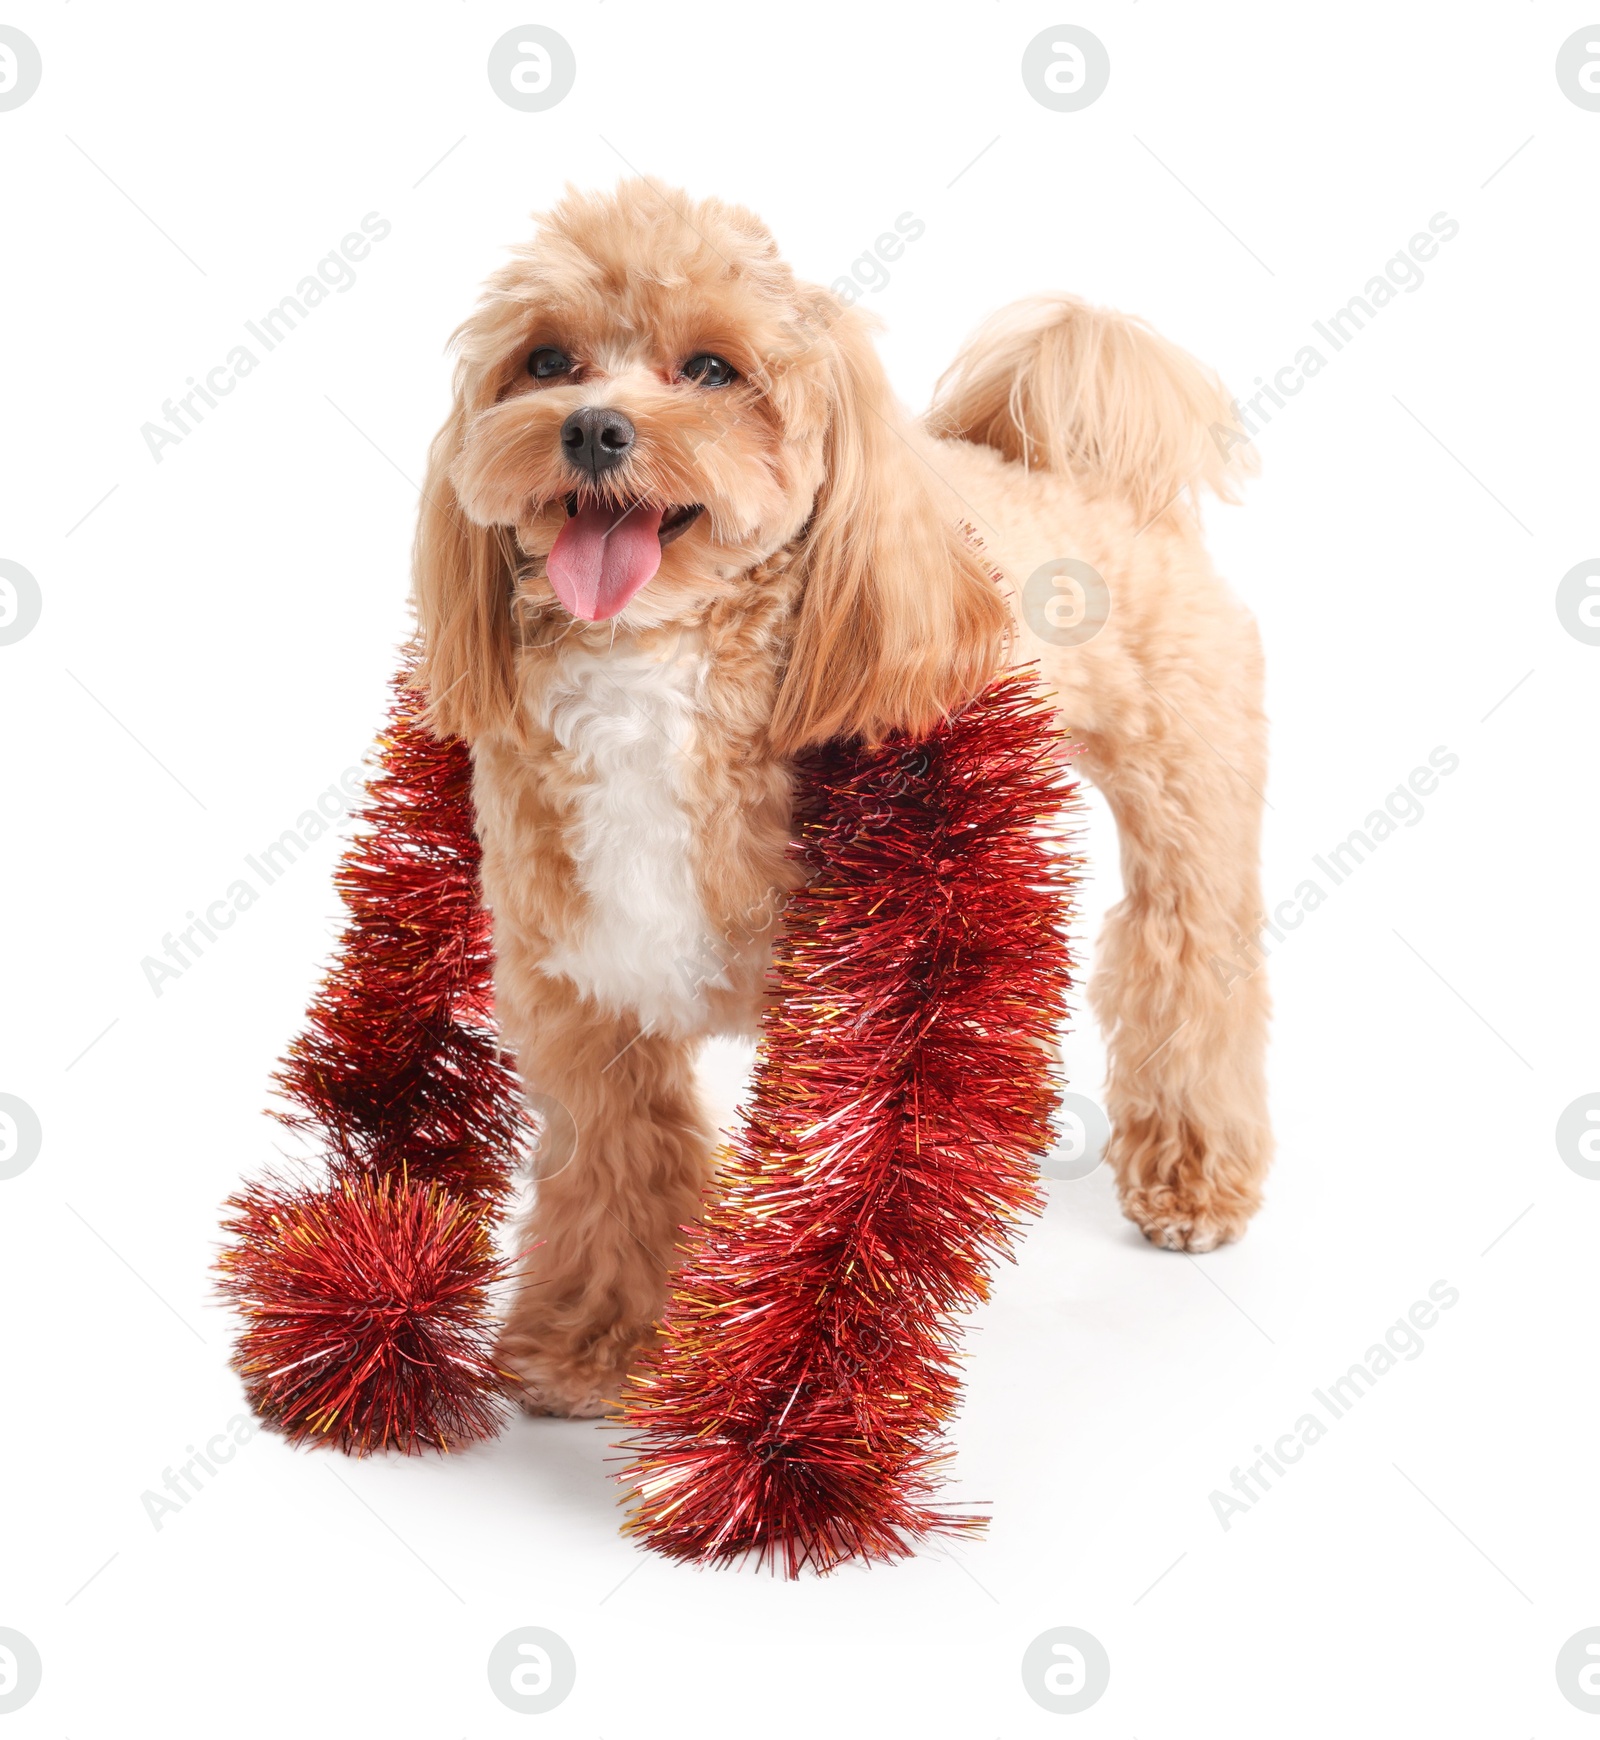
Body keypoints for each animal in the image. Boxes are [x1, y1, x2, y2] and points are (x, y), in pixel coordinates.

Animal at [415, 183, 1273, 1419]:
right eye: (545, 361)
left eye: (712, 370)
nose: (593, 429)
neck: (655, 671)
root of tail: (1075, 468)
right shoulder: (581, 984)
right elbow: (619, 1162)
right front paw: (590, 1341)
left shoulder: (854, 983)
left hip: (1184, 786)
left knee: (1187, 960)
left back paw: (1194, 1173)